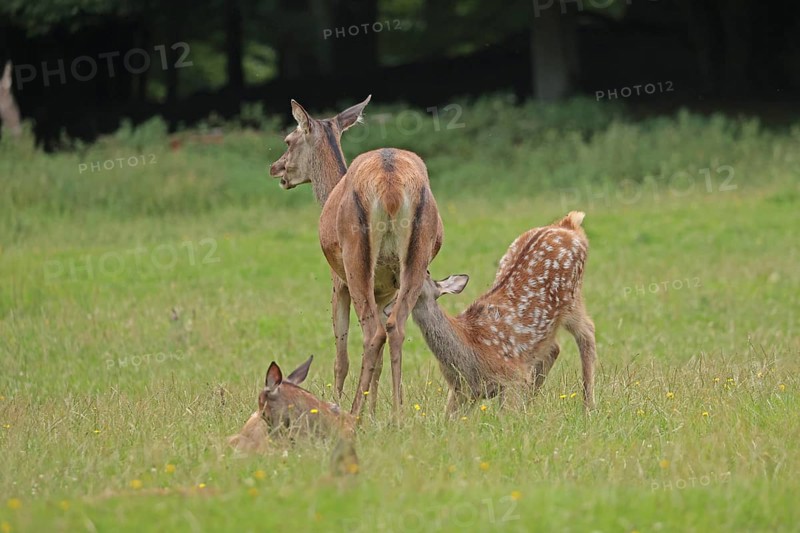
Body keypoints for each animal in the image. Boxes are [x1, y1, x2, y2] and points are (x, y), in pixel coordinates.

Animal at [269, 97, 444, 417]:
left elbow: (341, 355)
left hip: (355, 260)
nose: (275, 168)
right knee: (395, 328)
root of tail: (390, 184)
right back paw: (397, 413)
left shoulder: (337, 283)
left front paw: (340, 402)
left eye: (288, 139)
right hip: (416, 257)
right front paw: (375, 409)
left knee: (373, 334)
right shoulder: (386, 290)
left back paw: (354, 411)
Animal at [386, 211, 597, 413]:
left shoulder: (512, 377)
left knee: (587, 331)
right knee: (554, 348)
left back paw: (588, 407)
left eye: (425, 272)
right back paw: (531, 404)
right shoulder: (461, 389)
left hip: (572, 298)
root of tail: (567, 225)